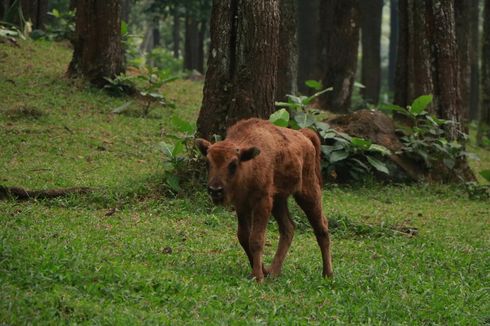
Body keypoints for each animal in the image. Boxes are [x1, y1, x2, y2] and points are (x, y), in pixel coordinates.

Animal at [196, 118, 334, 282]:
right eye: (207, 163)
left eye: (233, 164)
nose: (215, 190)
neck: (249, 164)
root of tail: (303, 135)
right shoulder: (242, 205)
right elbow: (244, 237)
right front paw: (261, 271)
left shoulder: (262, 202)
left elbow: (256, 239)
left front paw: (258, 276)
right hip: (279, 200)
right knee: (288, 228)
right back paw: (274, 272)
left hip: (307, 192)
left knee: (321, 227)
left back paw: (328, 274)